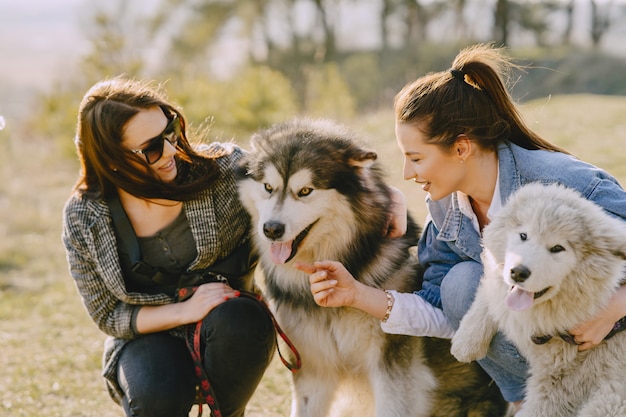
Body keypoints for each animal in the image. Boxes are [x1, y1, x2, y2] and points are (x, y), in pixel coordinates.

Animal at [450, 183, 624, 416]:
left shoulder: (560, 380)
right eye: (523, 235)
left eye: (558, 248)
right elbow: (494, 294)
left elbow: (537, 408)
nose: (518, 272)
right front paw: (466, 341)